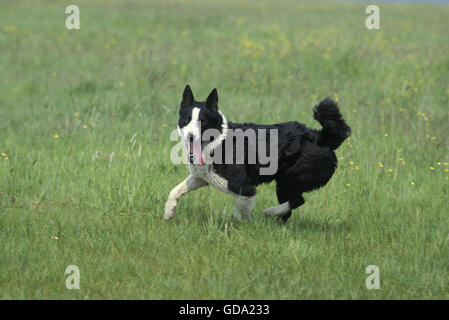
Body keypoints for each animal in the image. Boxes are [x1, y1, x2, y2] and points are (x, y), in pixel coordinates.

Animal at [164, 85, 350, 222]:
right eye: (186, 119)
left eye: (203, 121)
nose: (190, 136)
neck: (216, 142)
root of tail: (322, 137)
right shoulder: (202, 176)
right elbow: (175, 190)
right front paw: (168, 212)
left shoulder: (243, 186)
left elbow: (242, 209)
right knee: (291, 208)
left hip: (288, 178)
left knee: (297, 201)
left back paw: (269, 213)